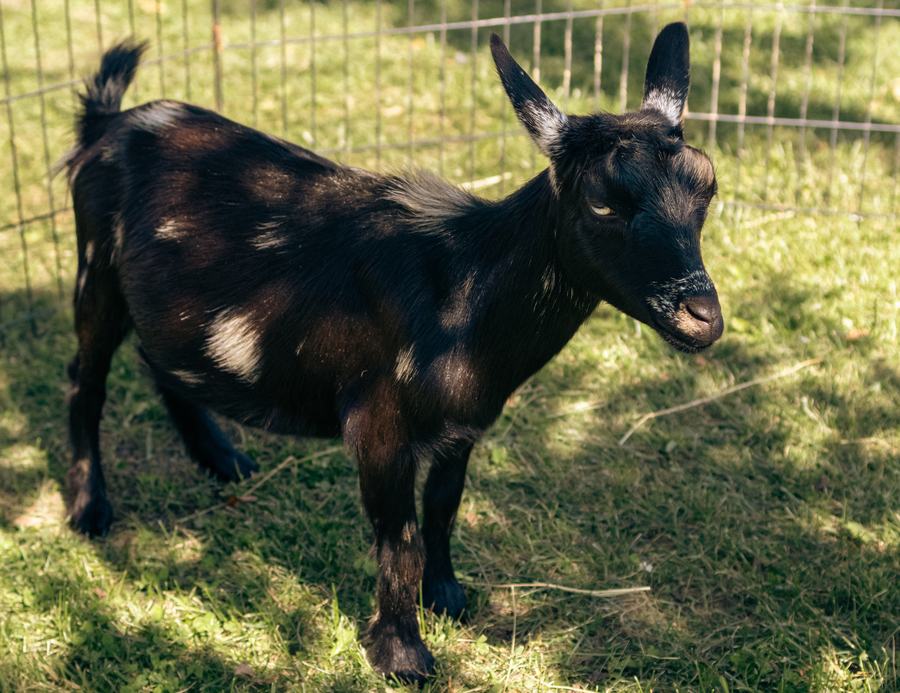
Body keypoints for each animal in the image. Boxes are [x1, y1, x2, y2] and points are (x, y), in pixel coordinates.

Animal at [63, 23, 722, 682]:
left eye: (707, 186)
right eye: (602, 201)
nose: (703, 318)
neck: (461, 288)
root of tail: (108, 123)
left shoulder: (464, 424)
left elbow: (443, 507)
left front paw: (448, 597)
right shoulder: (377, 422)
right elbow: (398, 537)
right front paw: (402, 653)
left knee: (159, 361)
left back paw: (222, 459)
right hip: (97, 268)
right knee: (85, 378)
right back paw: (89, 510)